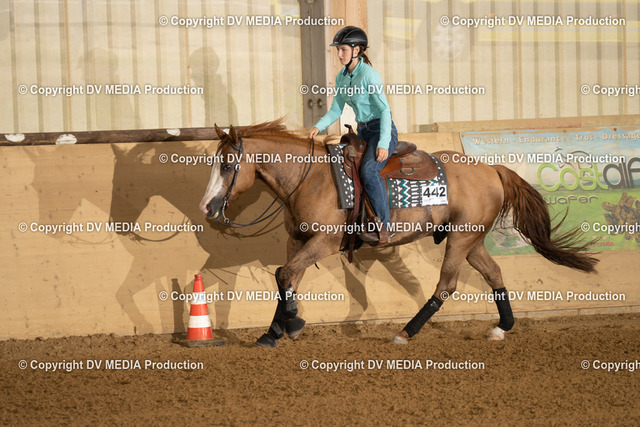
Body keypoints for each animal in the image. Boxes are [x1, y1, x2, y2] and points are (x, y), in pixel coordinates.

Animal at [199, 119, 598, 347]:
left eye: (228, 165)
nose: (207, 207)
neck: (311, 178)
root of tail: (491, 169)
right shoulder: (296, 240)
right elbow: (286, 278)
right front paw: (273, 332)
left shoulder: (324, 242)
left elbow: (285, 275)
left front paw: (292, 324)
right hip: (471, 239)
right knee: (494, 274)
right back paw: (502, 328)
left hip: (460, 239)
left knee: (446, 285)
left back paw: (405, 332)